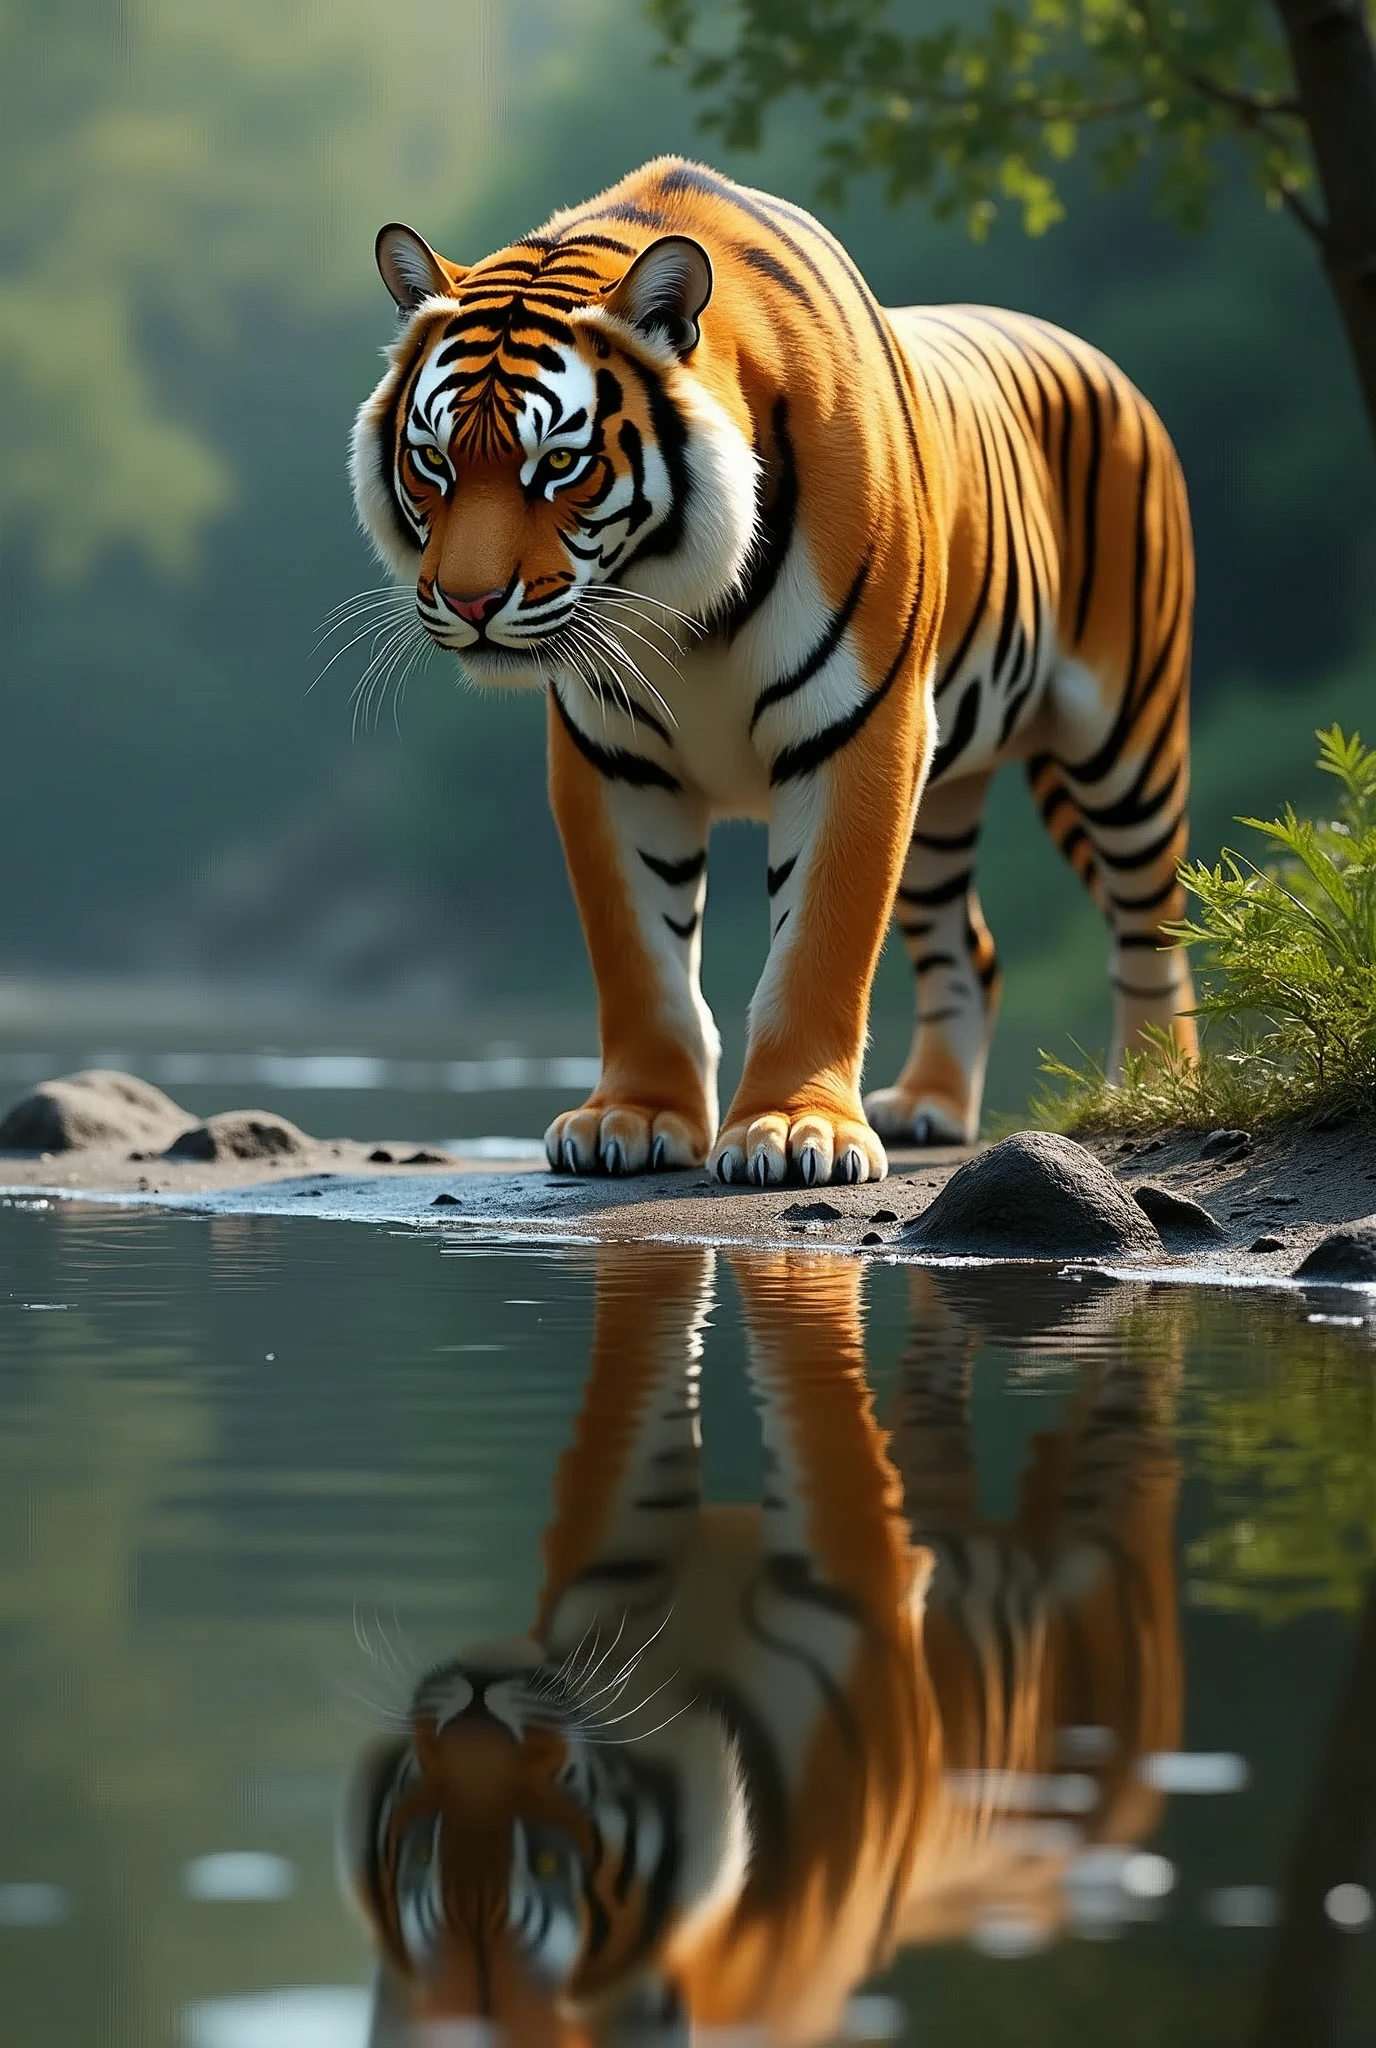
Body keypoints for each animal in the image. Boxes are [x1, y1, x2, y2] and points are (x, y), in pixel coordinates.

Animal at [339, 1247, 1183, 2044]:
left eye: (545, 1860)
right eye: (423, 1850)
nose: (473, 1704)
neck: (675, 1688)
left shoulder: (854, 1580)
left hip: (1114, 1501)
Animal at [350, 157, 1198, 1183]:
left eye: (557, 464)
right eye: (433, 460)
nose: (470, 603)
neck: (677, 602)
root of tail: (1107, 367)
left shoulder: (861, 730)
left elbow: (817, 946)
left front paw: (798, 1131)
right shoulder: (612, 758)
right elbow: (640, 957)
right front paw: (632, 1117)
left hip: (1124, 744)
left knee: (1154, 925)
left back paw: (1154, 1088)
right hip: (944, 785)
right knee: (971, 949)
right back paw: (929, 1108)